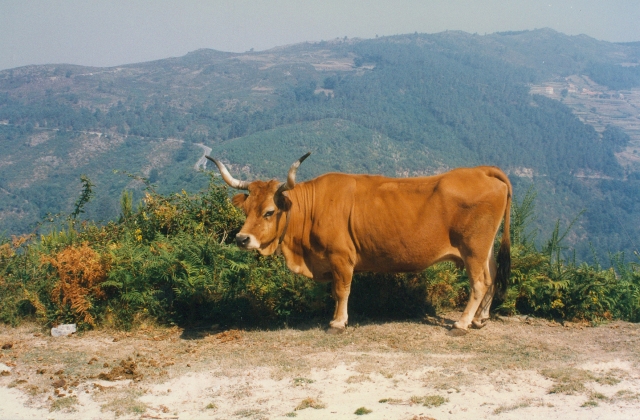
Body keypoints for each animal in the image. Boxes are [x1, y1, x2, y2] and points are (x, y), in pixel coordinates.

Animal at [208, 154, 512, 334]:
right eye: (246, 209)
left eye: (269, 212)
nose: (242, 239)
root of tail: (480, 171)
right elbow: (336, 291)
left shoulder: (341, 257)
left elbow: (342, 291)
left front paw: (338, 322)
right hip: (484, 249)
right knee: (492, 276)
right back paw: (480, 319)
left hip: (473, 248)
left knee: (479, 283)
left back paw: (462, 323)